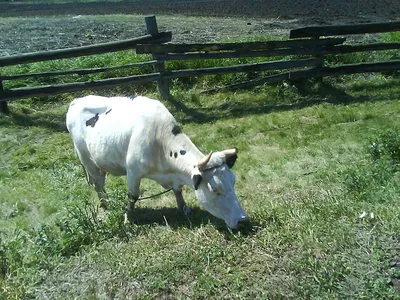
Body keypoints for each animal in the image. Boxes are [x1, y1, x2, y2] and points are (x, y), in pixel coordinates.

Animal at [67, 95, 248, 229]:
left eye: (233, 183)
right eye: (215, 190)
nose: (243, 220)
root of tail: (77, 100)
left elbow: (178, 190)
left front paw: (184, 208)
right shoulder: (133, 170)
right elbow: (133, 196)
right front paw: (128, 218)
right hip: (87, 160)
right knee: (98, 185)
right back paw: (105, 205)